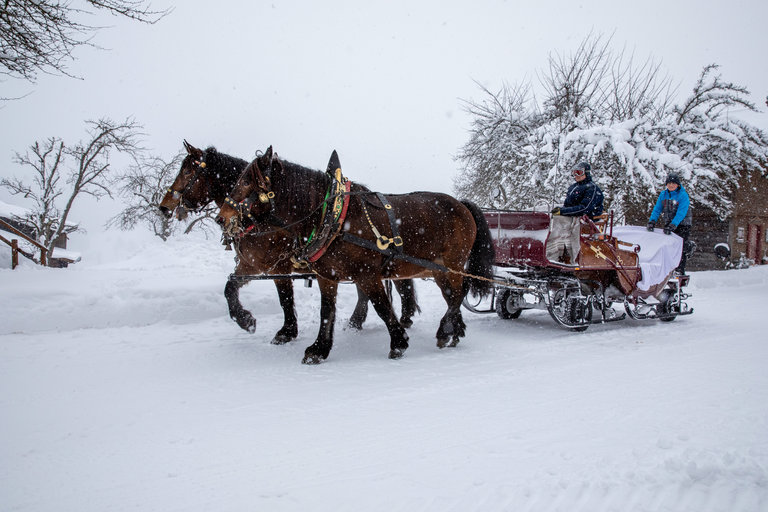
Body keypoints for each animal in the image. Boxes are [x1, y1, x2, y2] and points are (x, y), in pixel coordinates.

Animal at [158, 141, 419, 343]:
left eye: (188, 172)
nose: (164, 206)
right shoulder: (250, 265)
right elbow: (230, 287)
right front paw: (246, 320)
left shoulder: (277, 266)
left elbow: (285, 298)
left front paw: (286, 331)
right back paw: (360, 322)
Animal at [215, 146, 495, 363]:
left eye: (247, 182)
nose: (221, 218)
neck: (333, 217)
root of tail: (461, 204)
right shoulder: (327, 276)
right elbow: (326, 311)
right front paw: (319, 350)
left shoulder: (367, 275)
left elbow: (382, 306)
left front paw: (398, 343)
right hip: (438, 270)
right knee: (451, 297)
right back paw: (455, 331)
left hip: (452, 263)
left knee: (458, 294)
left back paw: (445, 331)